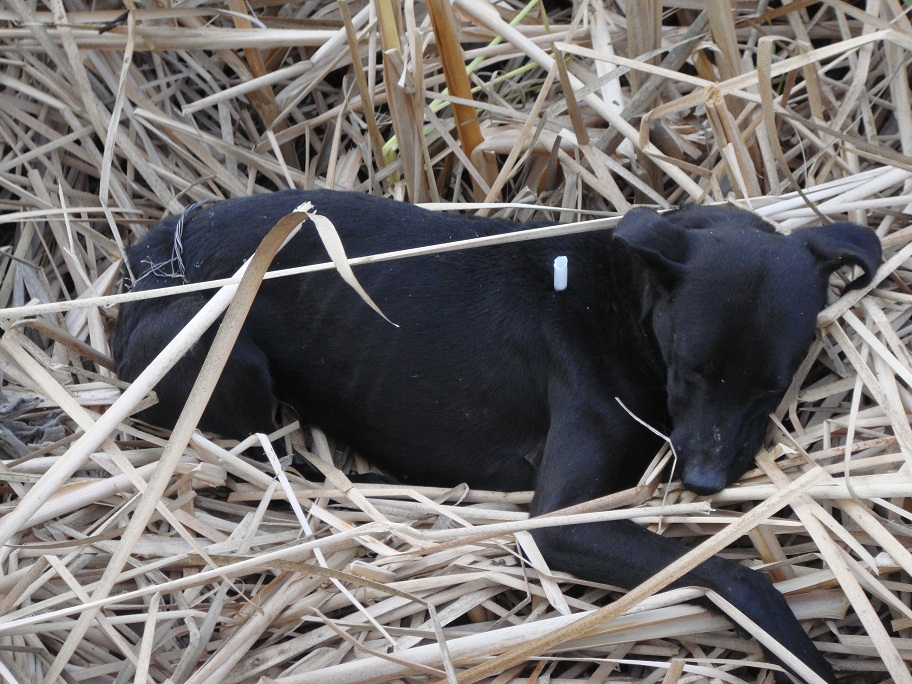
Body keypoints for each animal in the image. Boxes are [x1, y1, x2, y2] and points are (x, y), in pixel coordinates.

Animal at [110, 190, 880, 680]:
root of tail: (152, 255)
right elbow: (734, 573)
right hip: (225, 352)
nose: (704, 482)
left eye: (772, 386)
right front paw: (803, 652)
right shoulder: (562, 524)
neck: (620, 303)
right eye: (693, 368)